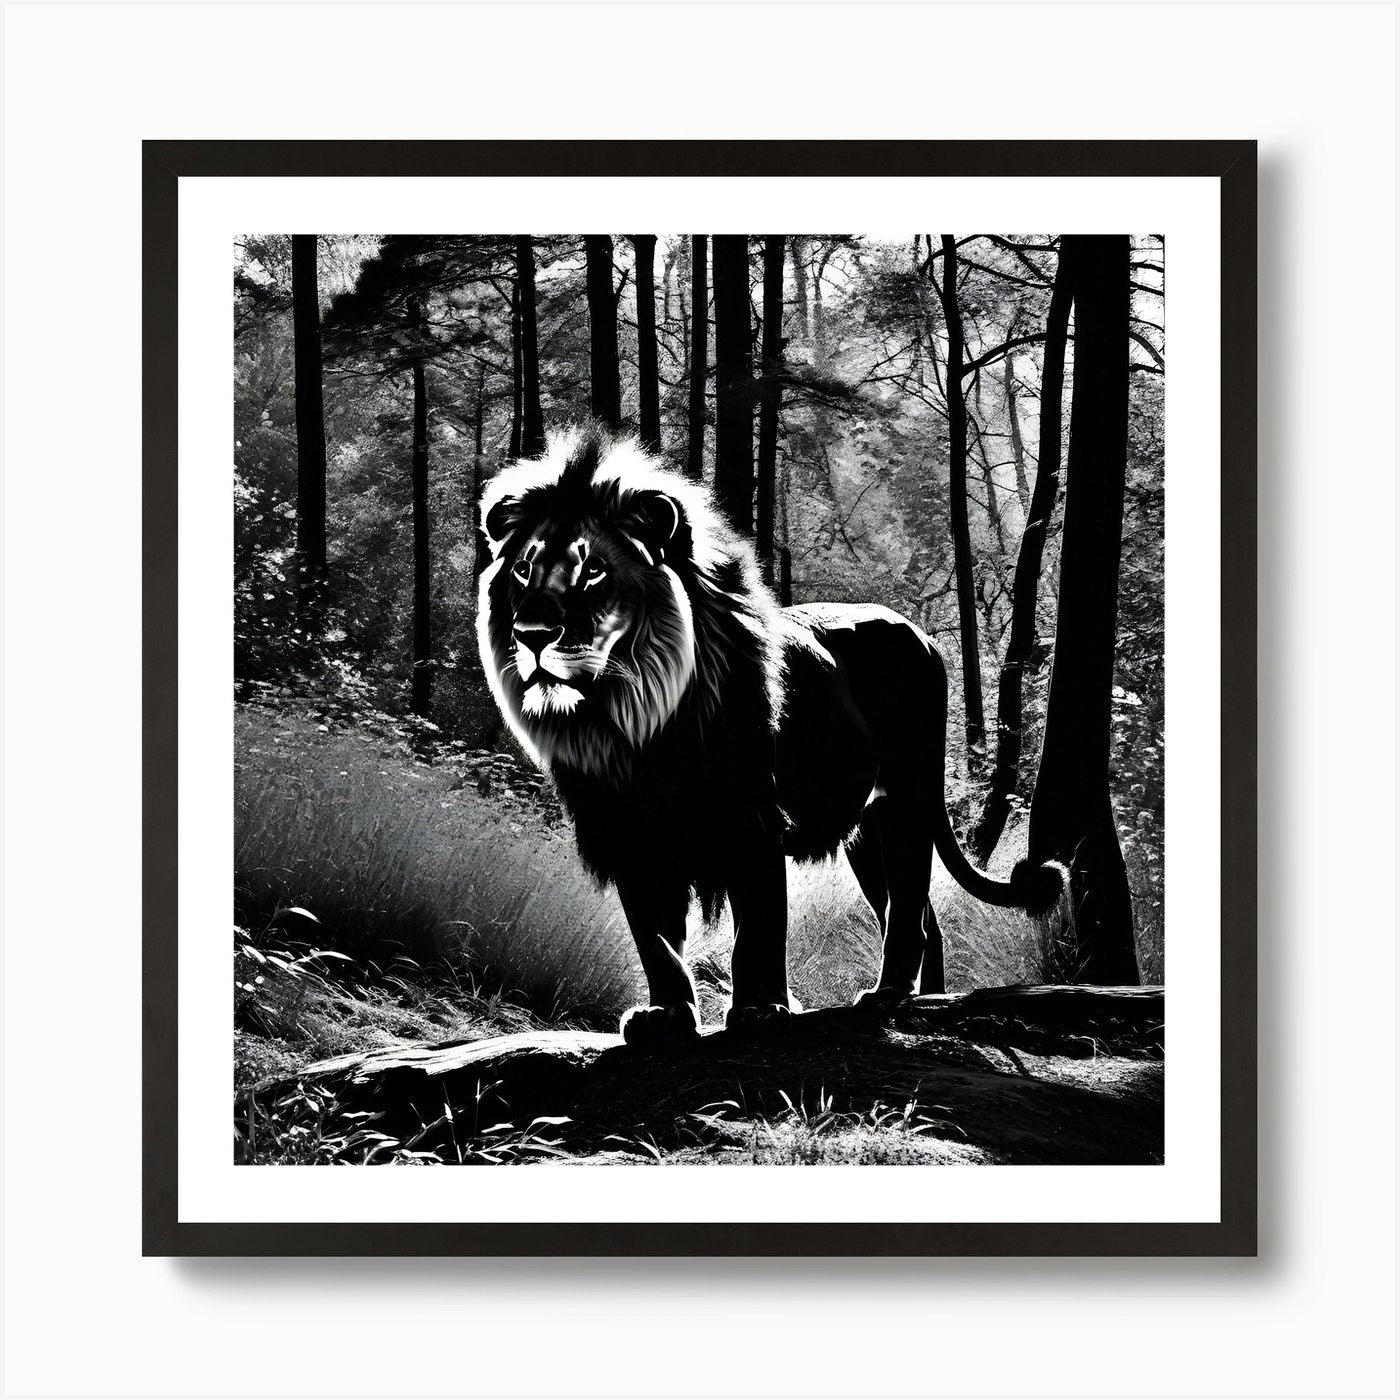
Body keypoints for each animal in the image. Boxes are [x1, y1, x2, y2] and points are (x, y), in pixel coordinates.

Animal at [478, 426, 1066, 1045]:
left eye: (593, 570)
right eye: (523, 570)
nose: (532, 633)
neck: (637, 725)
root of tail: (923, 635)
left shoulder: (752, 819)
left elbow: (758, 925)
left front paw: (761, 1010)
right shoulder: (630, 832)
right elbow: (655, 939)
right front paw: (667, 1016)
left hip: (908, 792)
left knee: (908, 904)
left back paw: (888, 997)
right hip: (867, 826)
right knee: (921, 914)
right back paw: (923, 997)